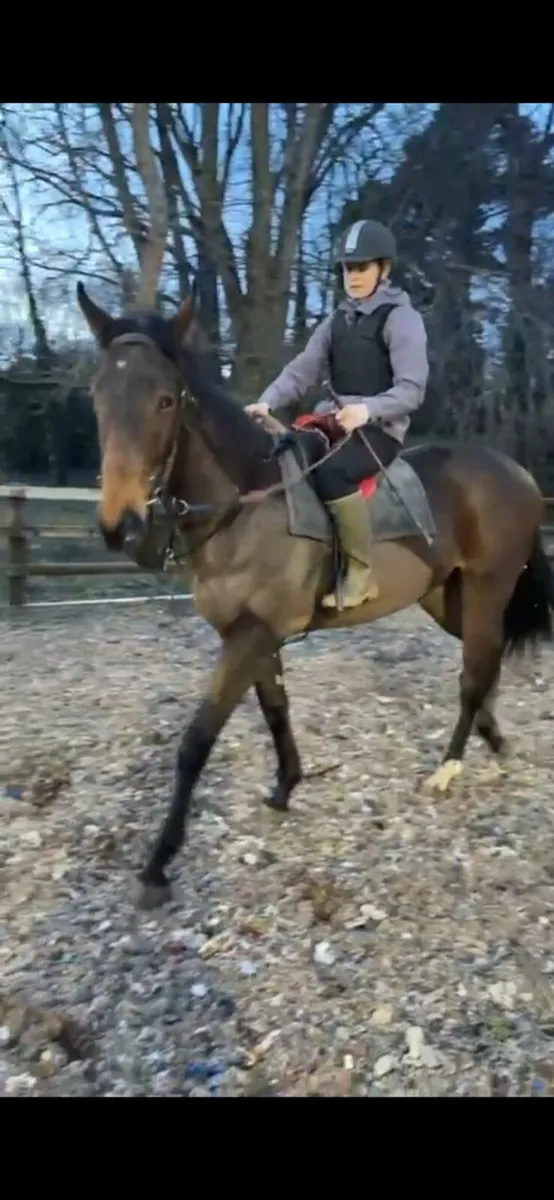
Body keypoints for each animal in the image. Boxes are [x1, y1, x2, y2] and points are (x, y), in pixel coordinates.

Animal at [76, 284, 554, 910]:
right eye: (97, 396)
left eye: (164, 401)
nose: (121, 526)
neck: (244, 506)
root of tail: (519, 475)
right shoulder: (252, 636)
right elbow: (275, 709)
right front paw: (286, 785)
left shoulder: (251, 635)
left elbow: (196, 741)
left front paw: (158, 864)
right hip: (450, 598)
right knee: (487, 660)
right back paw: (492, 740)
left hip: (486, 587)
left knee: (475, 675)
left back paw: (448, 769)